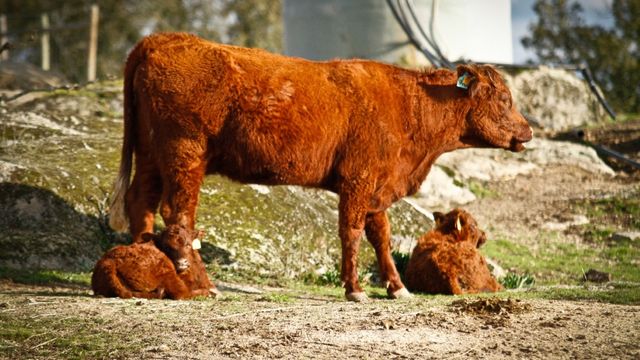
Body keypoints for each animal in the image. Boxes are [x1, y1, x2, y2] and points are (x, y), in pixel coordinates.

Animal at [91, 226, 219, 300]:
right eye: (166, 247)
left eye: (188, 244)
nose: (182, 263)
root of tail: (109, 261)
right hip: (167, 272)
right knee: (182, 294)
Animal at [107, 33, 532, 300]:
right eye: (503, 99)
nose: (527, 130)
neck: (408, 105)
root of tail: (161, 39)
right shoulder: (357, 182)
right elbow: (352, 233)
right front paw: (355, 289)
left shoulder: (376, 188)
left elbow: (381, 237)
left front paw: (397, 287)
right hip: (185, 155)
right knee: (177, 218)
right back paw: (200, 283)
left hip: (152, 156)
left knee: (141, 203)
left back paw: (148, 262)